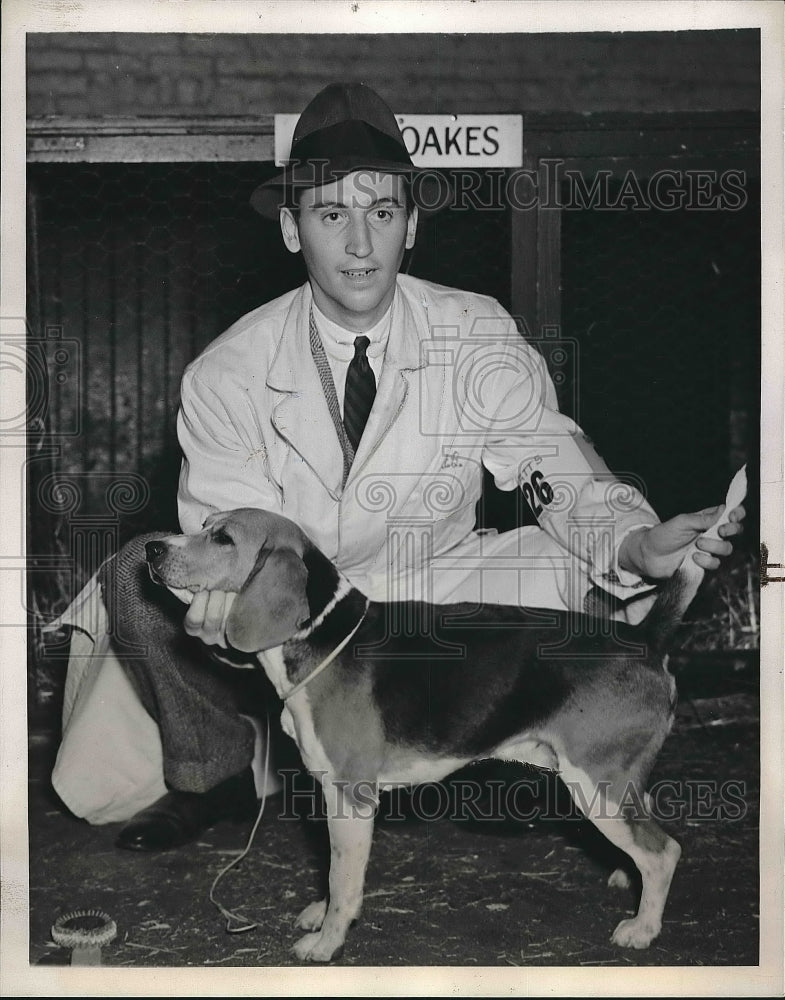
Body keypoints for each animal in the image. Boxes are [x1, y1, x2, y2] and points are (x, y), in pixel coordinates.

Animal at [144, 508, 724, 960]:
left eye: (223, 538)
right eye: (203, 524)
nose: (151, 547)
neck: (322, 636)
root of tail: (643, 638)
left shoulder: (351, 795)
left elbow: (342, 877)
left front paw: (328, 941)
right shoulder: (330, 794)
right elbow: (329, 867)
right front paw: (321, 915)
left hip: (595, 783)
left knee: (664, 852)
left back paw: (642, 928)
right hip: (612, 786)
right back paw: (627, 880)